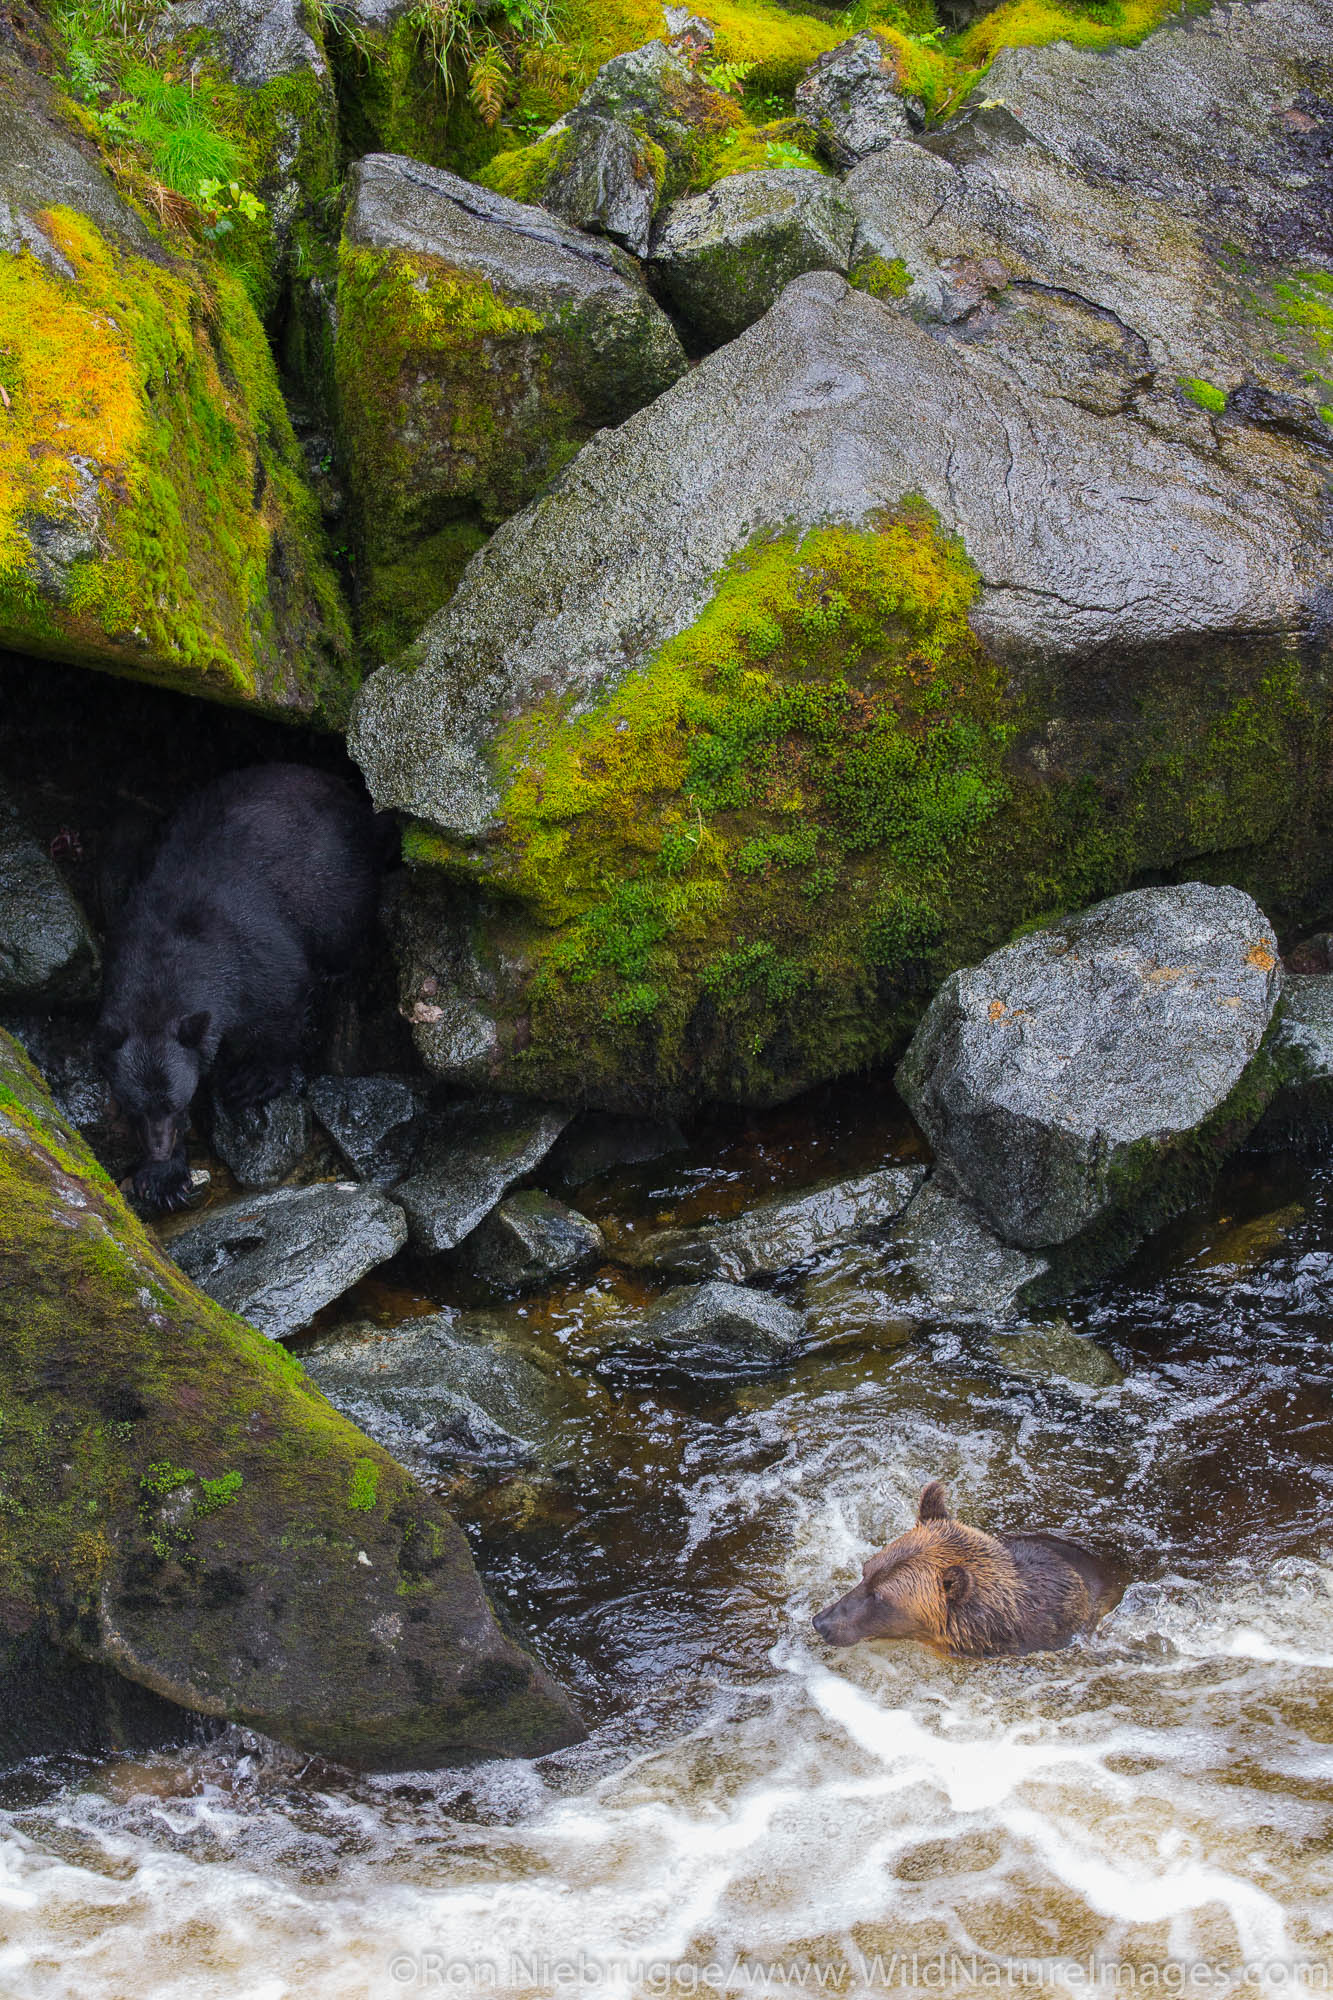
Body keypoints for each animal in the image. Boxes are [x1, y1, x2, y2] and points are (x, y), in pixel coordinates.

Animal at [92, 760, 384, 1200]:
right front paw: (164, 1177)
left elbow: (282, 1008)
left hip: (339, 881)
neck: (167, 951)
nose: (159, 1149)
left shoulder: (255, 957)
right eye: (135, 1108)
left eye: (175, 1103)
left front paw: (252, 1081)